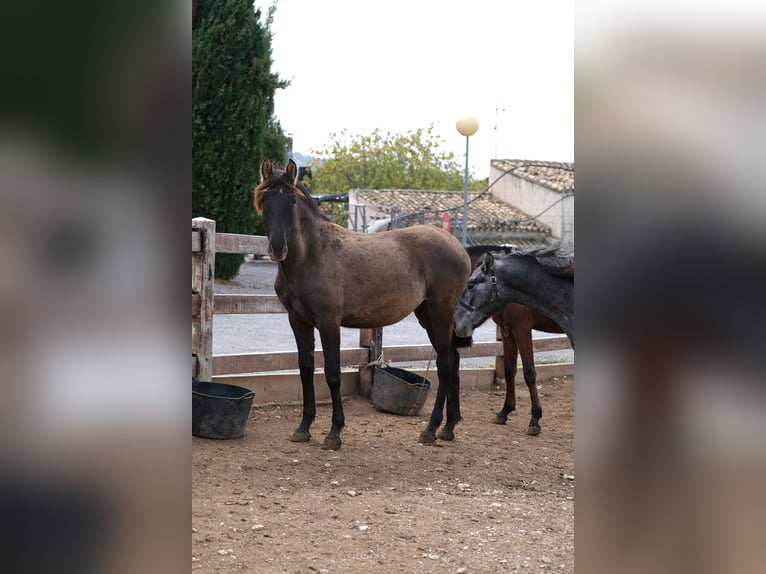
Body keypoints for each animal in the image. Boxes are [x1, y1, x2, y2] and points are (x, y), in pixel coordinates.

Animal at [254, 158, 473, 450]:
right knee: (454, 361)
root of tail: (459, 247)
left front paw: (334, 433)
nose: (278, 248)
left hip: (440, 314)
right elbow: (306, 370)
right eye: (265, 200)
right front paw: (303, 428)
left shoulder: (329, 323)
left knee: (446, 365)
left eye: (291, 201)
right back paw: (448, 427)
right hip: (427, 316)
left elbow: (332, 374)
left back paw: (430, 429)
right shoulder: (298, 322)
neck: (312, 254)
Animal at [465, 245, 566, 435]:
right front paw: (505, 411)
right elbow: (509, 370)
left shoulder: (522, 330)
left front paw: (535, 419)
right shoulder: (508, 333)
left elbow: (529, 373)